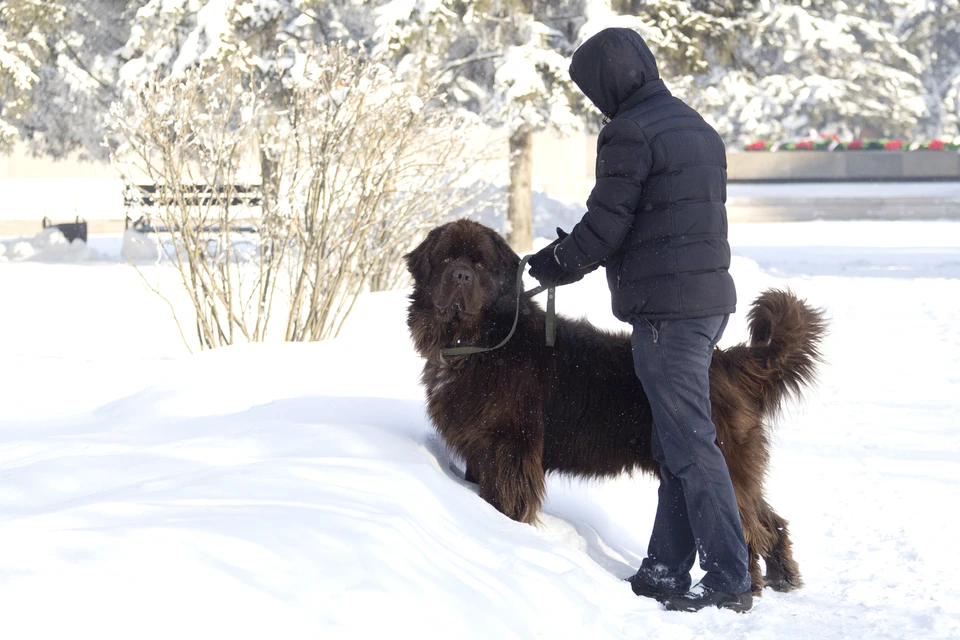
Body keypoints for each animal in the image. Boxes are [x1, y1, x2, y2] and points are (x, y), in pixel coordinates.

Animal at [404, 220, 824, 596]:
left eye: (478, 265)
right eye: (446, 259)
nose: (460, 276)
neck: (479, 343)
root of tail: (726, 361)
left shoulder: (509, 446)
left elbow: (504, 496)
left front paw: (504, 528)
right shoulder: (479, 443)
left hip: (719, 456)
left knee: (747, 525)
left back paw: (743, 588)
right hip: (738, 464)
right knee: (768, 520)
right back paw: (782, 578)